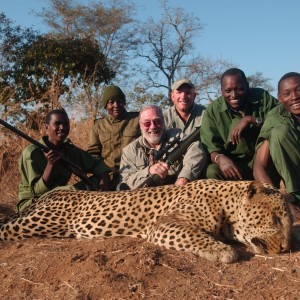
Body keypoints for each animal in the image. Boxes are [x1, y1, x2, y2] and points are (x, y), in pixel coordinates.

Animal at [0, 178, 292, 262]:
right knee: (5, 228)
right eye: (276, 219)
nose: (287, 247)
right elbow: (193, 234)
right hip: (37, 222)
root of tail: (53, 193)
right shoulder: (164, 225)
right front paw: (222, 251)